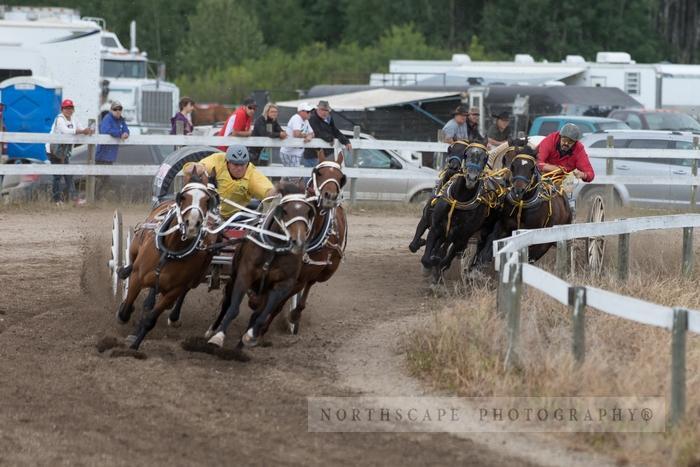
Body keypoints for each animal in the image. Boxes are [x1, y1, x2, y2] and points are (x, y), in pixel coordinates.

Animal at [116, 165, 219, 352]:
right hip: (135, 246)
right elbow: (126, 309)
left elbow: (150, 319)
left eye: (208, 200)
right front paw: (124, 313)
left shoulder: (174, 290)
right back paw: (124, 272)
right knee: (131, 263)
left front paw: (135, 345)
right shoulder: (138, 277)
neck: (172, 250)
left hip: (195, 278)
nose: (192, 223)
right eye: (183, 197)